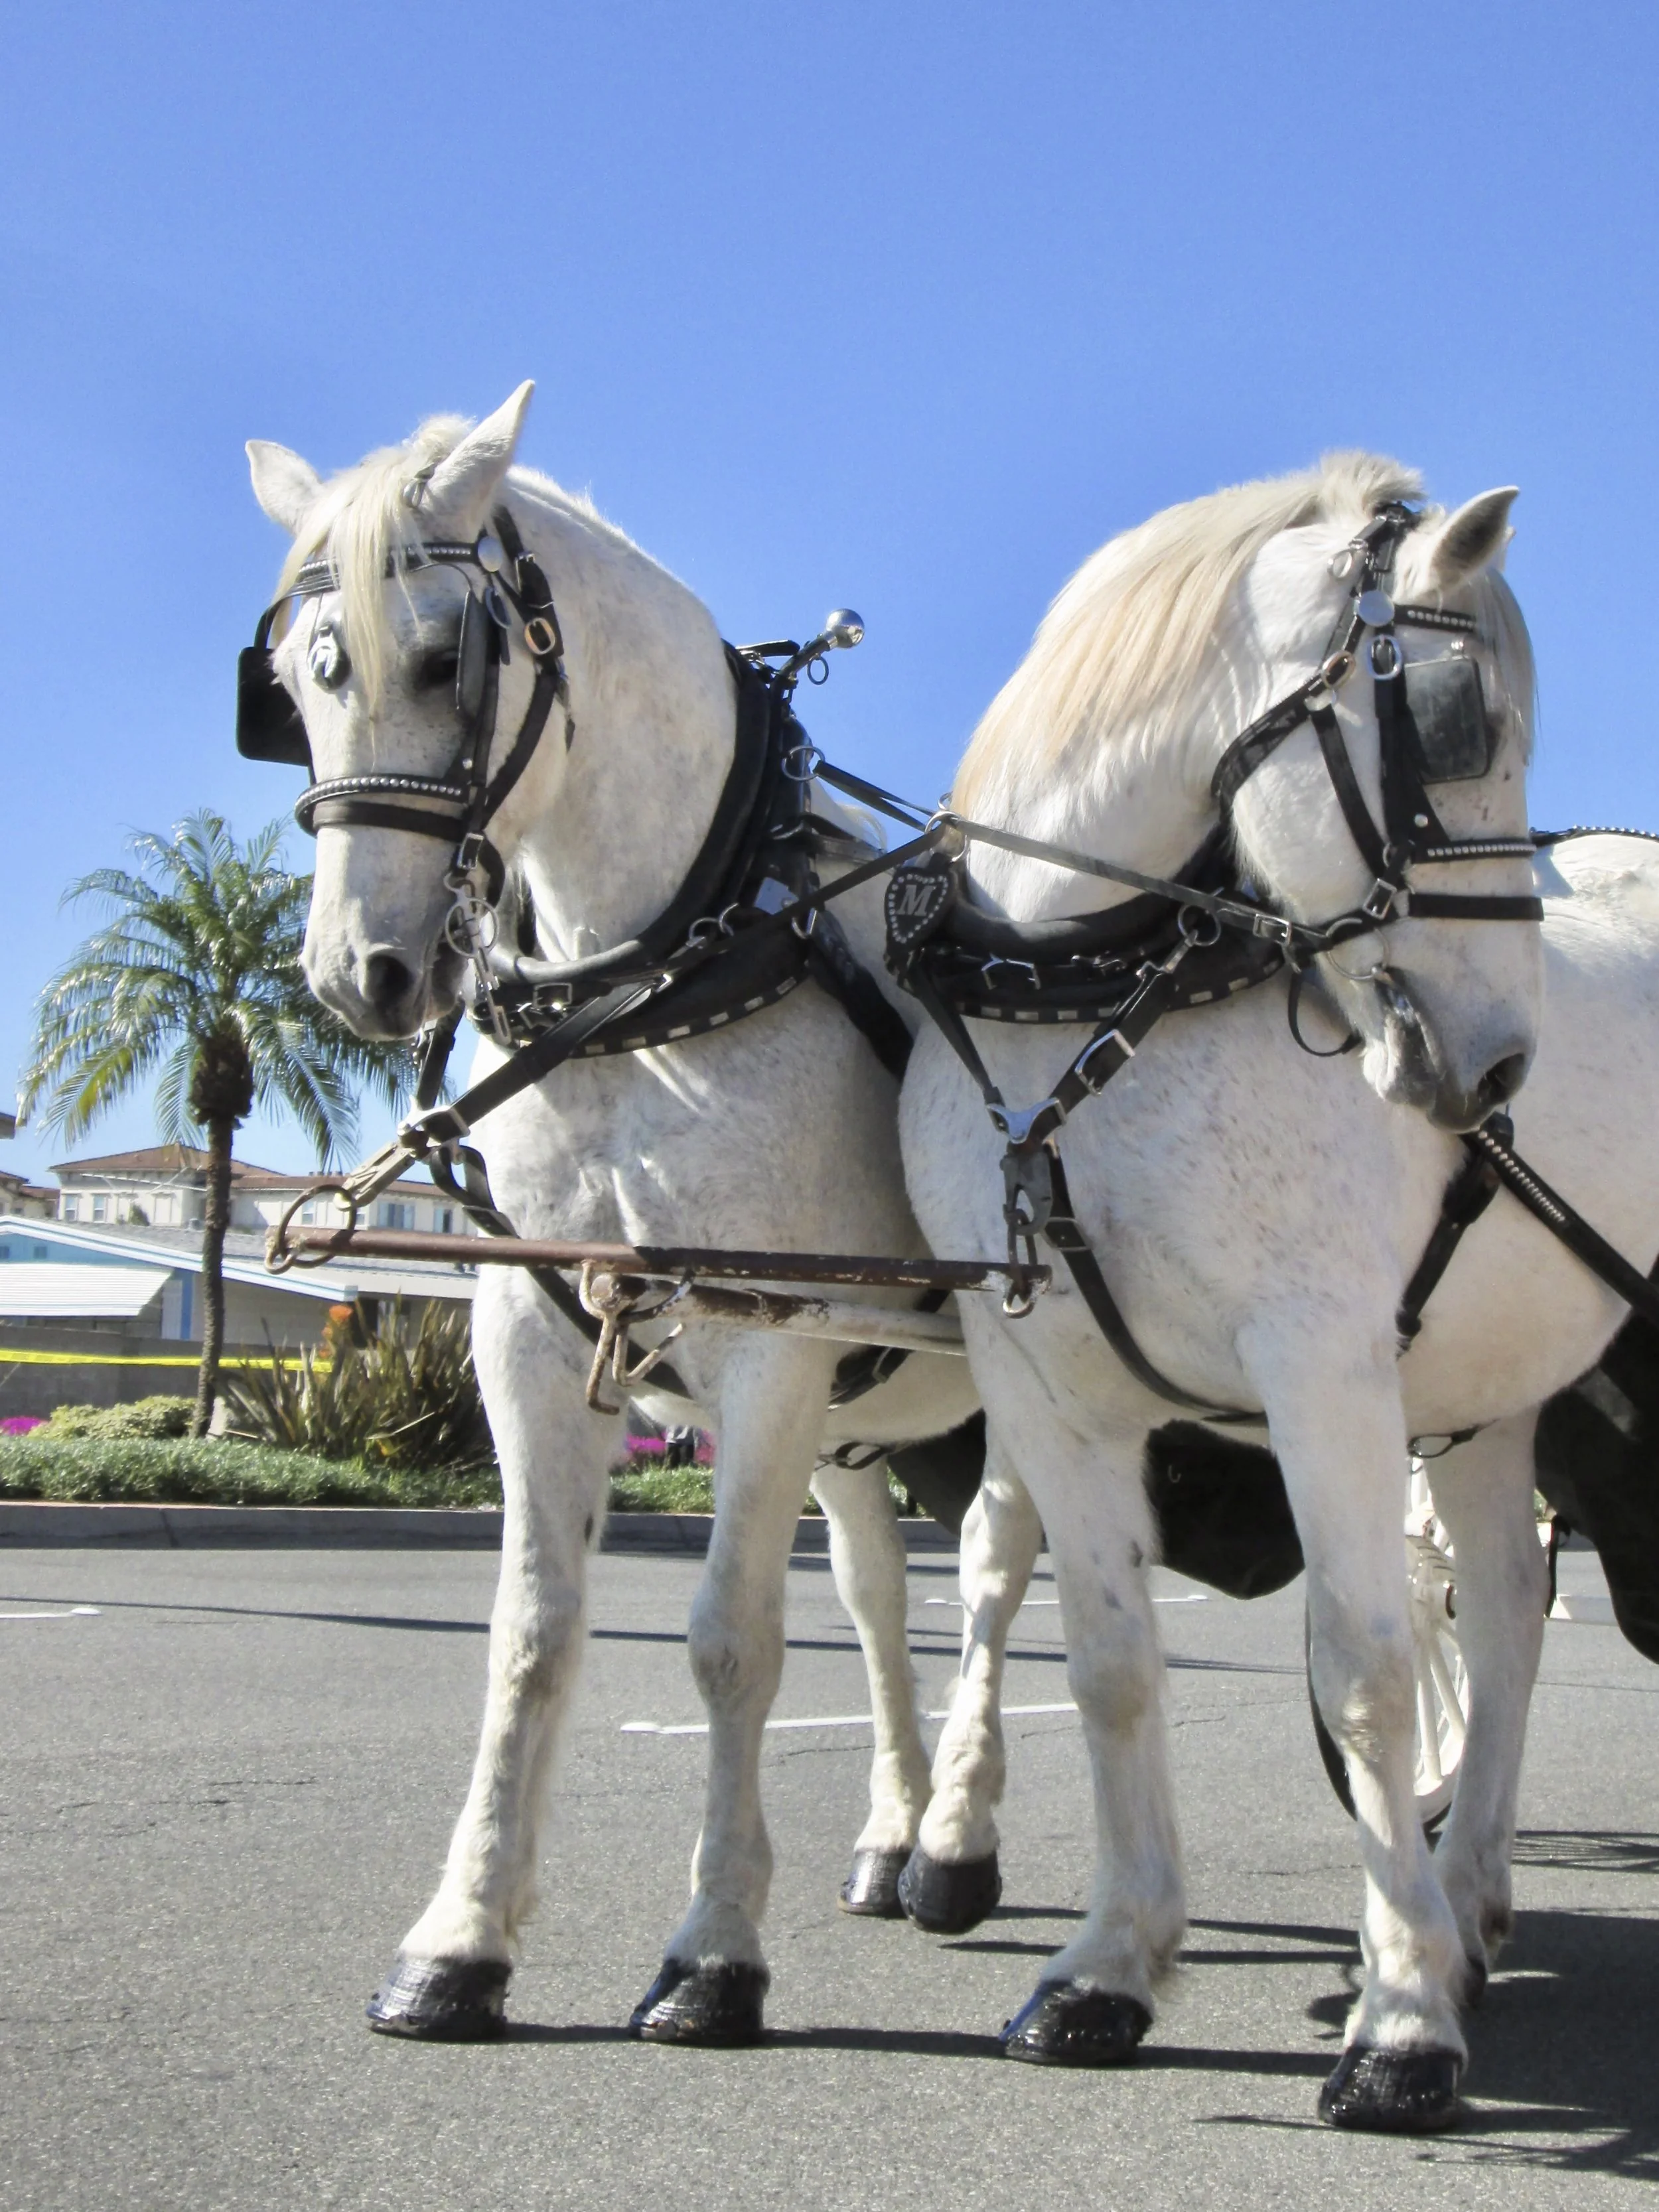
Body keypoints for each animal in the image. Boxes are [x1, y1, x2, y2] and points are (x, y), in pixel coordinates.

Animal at [242, 382, 982, 2044]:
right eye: (294, 682)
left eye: (442, 658)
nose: (360, 974)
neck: (651, 983)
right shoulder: (531, 1331)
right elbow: (531, 1635)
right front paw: (458, 1938)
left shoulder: (770, 1335)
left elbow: (729, 1641)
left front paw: (712, 1948)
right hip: (865, 1411)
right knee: (888, 1591)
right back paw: (901, 1832)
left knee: (1011, 1570)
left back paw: (968, 1837)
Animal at [893, 452, 1626, 2131]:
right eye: (1456, 725)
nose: (1499, 1062)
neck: (1084, 1004)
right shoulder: (1047, 1386)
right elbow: (1109, 1661)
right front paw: (1109, 1965)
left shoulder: (1324, 1366)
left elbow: (1364, 1671)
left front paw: (1401, 2021)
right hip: (1492, 1388)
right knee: (1503, 1609)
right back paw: (1471, 1893)